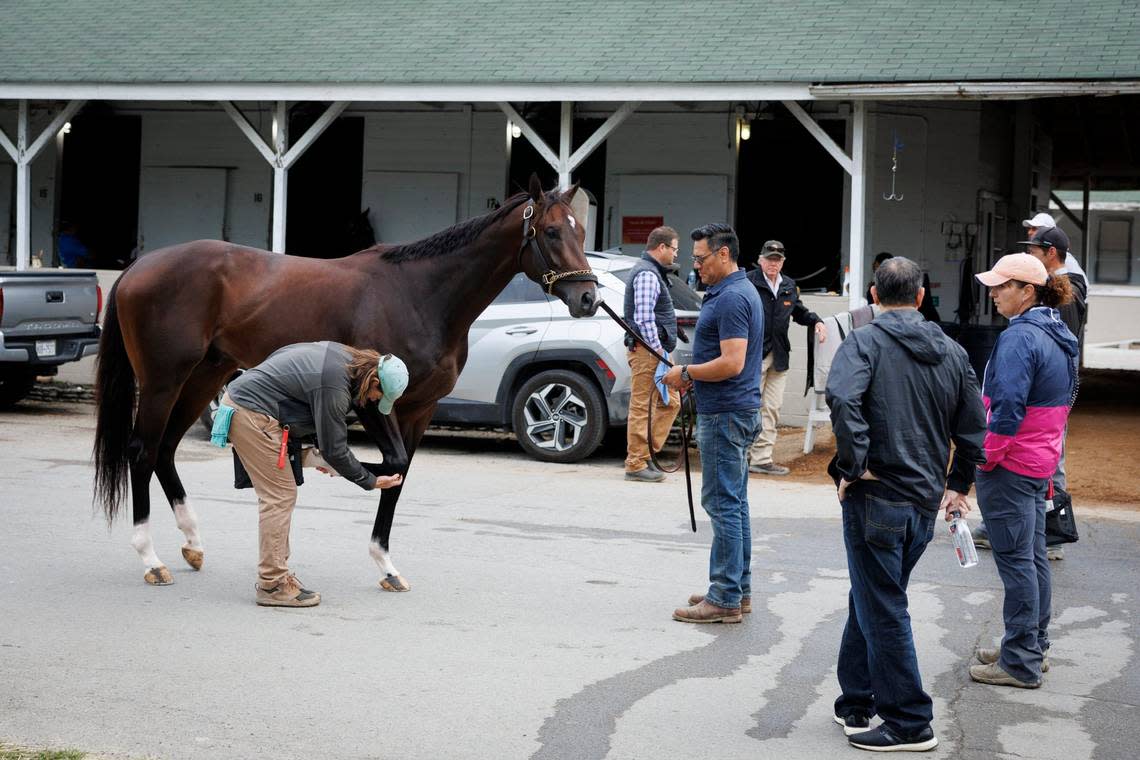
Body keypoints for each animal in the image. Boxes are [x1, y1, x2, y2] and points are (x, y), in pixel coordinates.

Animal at [91, 176, 597, 587]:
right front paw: (321, 462)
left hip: (203, 376)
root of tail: (138, 268)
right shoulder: (375, 402)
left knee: (165, 449)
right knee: (142, 450)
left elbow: (402, 471)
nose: (589, 298)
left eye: (580, 231)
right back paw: (150, 559)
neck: (420, 294)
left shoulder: (418, 409)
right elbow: (391, 462)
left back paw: (193, 544)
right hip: (162, 381)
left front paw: (386, 565)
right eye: (551, 232)